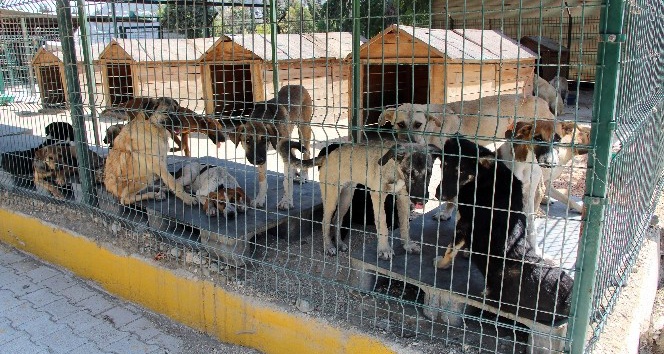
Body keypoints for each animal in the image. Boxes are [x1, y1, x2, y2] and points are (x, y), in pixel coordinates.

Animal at [278, 140, 438, 260]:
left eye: (429, 173)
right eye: (410, 173)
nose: (422, 200)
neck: (394, 169)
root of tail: (327, 156)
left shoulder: (403, 197)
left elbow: (405, 225)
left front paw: (408, 245)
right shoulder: (377, 196)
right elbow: (383, 224)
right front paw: (384, 249)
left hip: (347, 197)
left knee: (337, 220)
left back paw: (339, 243)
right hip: (332, 197)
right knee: (325, 221)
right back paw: (328, 247)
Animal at [378, 94, 556, 221]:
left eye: (418, 124)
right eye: (400, 124)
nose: (410, 143)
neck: (433, 129)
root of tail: (542, 101)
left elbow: (451, 193)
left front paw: (446, 213)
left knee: (540, 187)